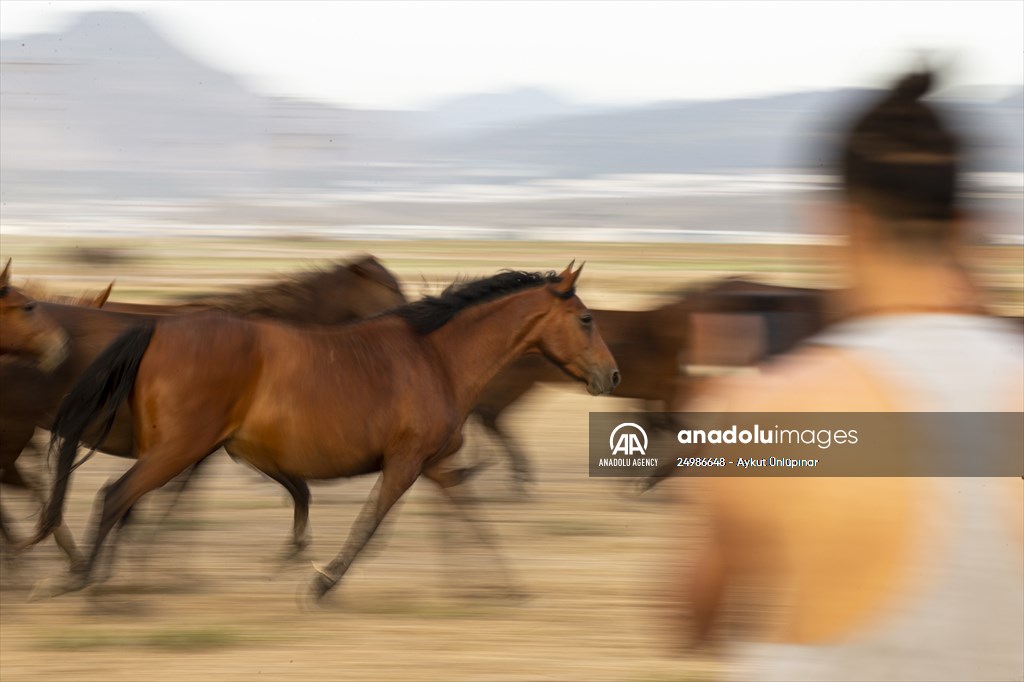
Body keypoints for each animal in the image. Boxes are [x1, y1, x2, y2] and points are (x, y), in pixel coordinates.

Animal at [35, 263, 619, 599]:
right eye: (587, 319)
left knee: (124, 502)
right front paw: (320, 581)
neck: (437, 358)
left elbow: (468, 516)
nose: (611, 376)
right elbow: (368, 523)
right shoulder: (406, 462)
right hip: (180, 448)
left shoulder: (433, 463)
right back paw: (87, 582)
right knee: (116, 497)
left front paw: (499, 584)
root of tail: (157, 327)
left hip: (180, 449)